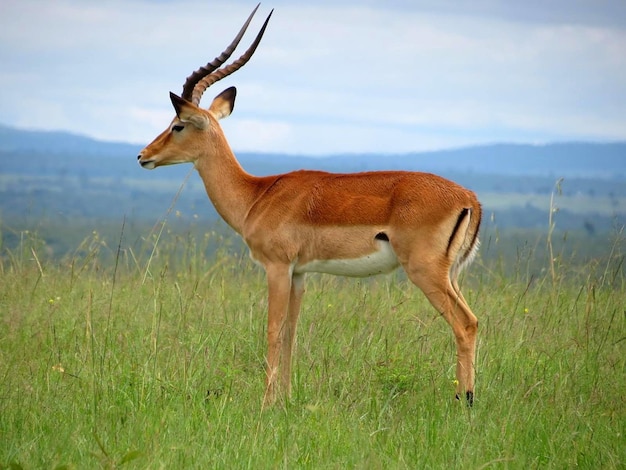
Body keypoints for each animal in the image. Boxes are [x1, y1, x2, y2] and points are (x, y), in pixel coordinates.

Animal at [135, 4, 478, 408]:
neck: (257, 196)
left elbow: (272, 330)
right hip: (450, 274)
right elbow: (291, 334)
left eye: (178, 124)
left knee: (465, 324)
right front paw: (284, 399)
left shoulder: (277, 267)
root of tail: (469, 199)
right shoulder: (300, 273)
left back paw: (465, 401)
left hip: (425, 271)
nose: (143, 156)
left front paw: (266, 404)